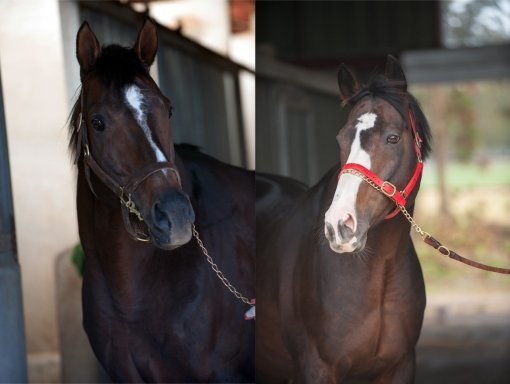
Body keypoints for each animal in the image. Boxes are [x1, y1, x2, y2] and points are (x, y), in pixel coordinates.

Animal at [258, 55, 430, 382]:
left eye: (392, 138)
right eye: (340, 139)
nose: (339, 226)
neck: (379, 268)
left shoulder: (401, 364)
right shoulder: (318, 367)